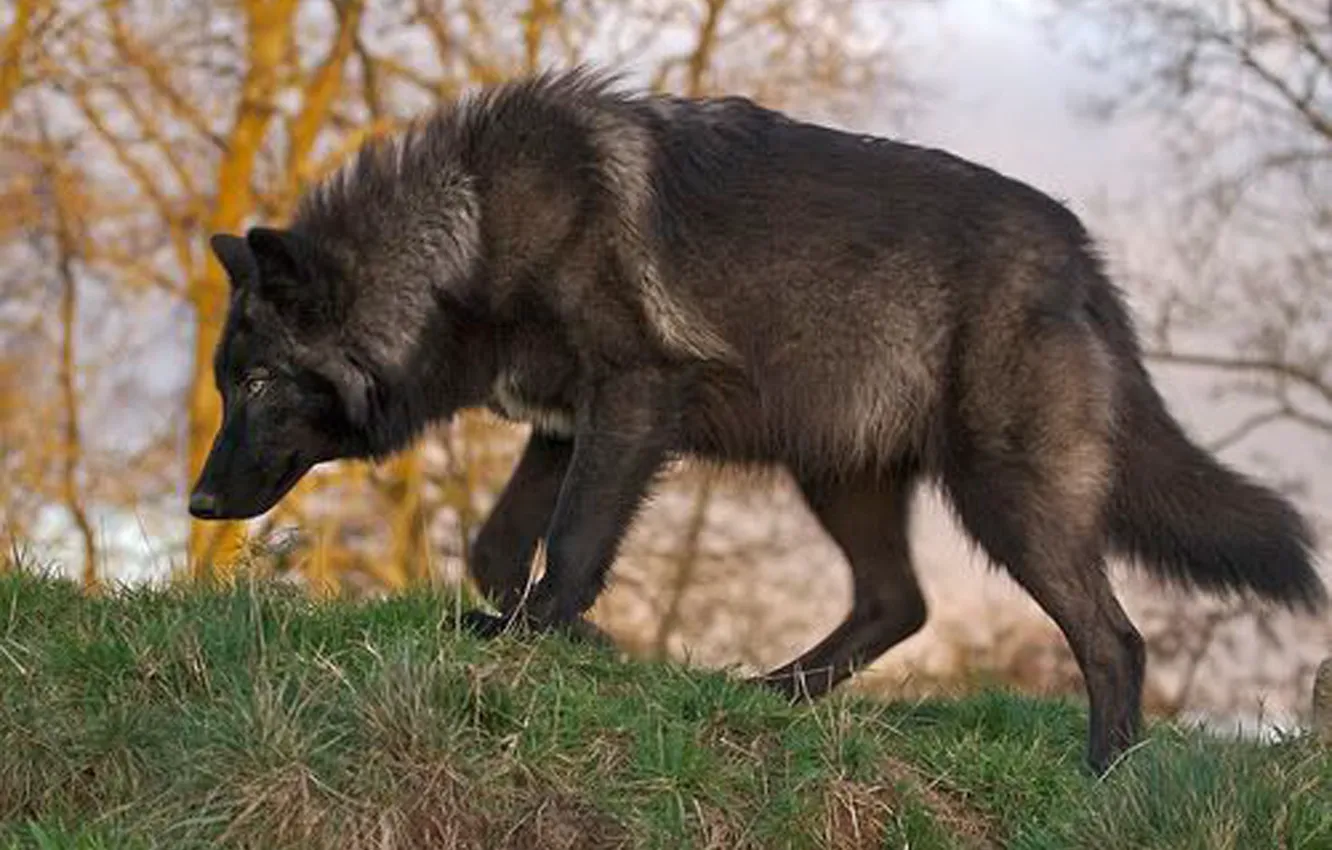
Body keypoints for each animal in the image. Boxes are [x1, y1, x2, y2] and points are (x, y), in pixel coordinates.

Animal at [189, 67, 1326, 774]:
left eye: (259, 383)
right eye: (224, 383)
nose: (196, 503)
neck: (468, 229)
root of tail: (1083, 259)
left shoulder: (632, 402)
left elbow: (573, 541)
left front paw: (548, 638)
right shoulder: (560, 428)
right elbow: (495, 547)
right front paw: (547, 635)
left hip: (1006, 501)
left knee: (1114, 640)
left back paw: (1103, 776)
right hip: (840, 475)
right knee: (899, 604)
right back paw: (764, 698)